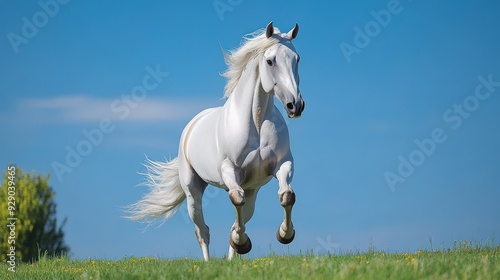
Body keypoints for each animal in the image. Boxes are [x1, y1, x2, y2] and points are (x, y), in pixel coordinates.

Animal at [127, 21, 302, 260]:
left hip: (252, 189)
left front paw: (284, 235)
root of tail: (192, 125)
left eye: (297, 59)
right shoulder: (229, 170)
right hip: (193, 191)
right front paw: (243, 242)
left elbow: (286, 196)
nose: (296, 105)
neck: (256, 122)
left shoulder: (283, 164)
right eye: (270, 61)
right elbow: (236, 199)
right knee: (203, 230)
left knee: (239, 218)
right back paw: (210, 261)